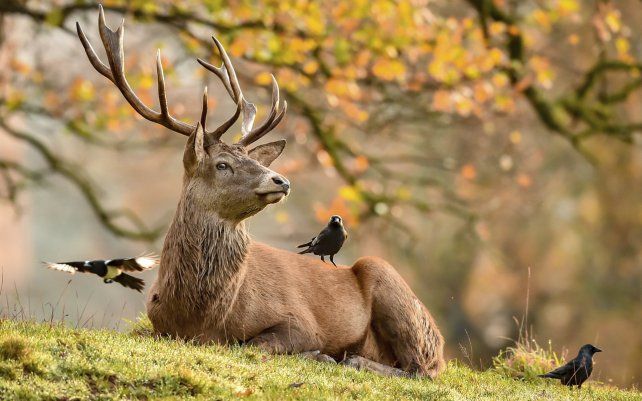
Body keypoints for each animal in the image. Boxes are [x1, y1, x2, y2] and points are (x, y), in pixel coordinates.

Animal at [76, 6, 445, 378]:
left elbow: (254, 344)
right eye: (222, 164)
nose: (281, 180)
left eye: (252, 159)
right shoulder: (156, 324)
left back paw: (353, 359)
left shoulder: (301, 321)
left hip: (389, 283)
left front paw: (321, 355)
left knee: (419, 369)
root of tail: (441, 342)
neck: (200, 318)